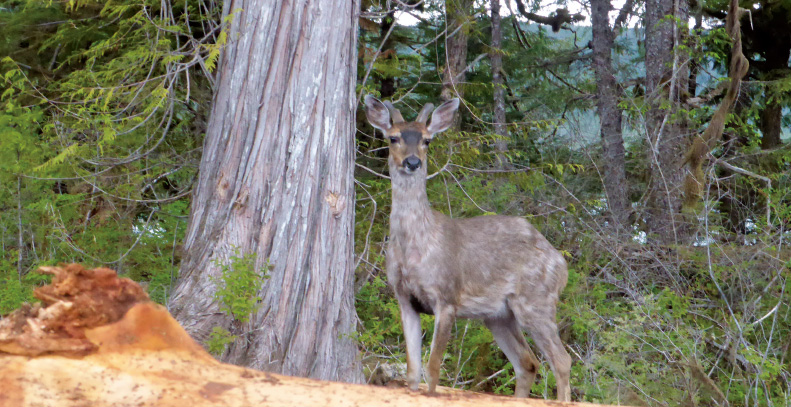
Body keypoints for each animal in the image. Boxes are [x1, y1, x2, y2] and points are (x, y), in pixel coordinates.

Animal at [362, 95, 572, 402]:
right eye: (393, 137)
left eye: (427, 140)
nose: (413, 162)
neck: (415, 248)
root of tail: (560, 261)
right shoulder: (405, 298)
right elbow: (412, 371)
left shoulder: (447, 296)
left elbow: (433, 368)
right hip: (499, 315)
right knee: (528, 363)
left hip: (536, 300)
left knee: (561, 360)